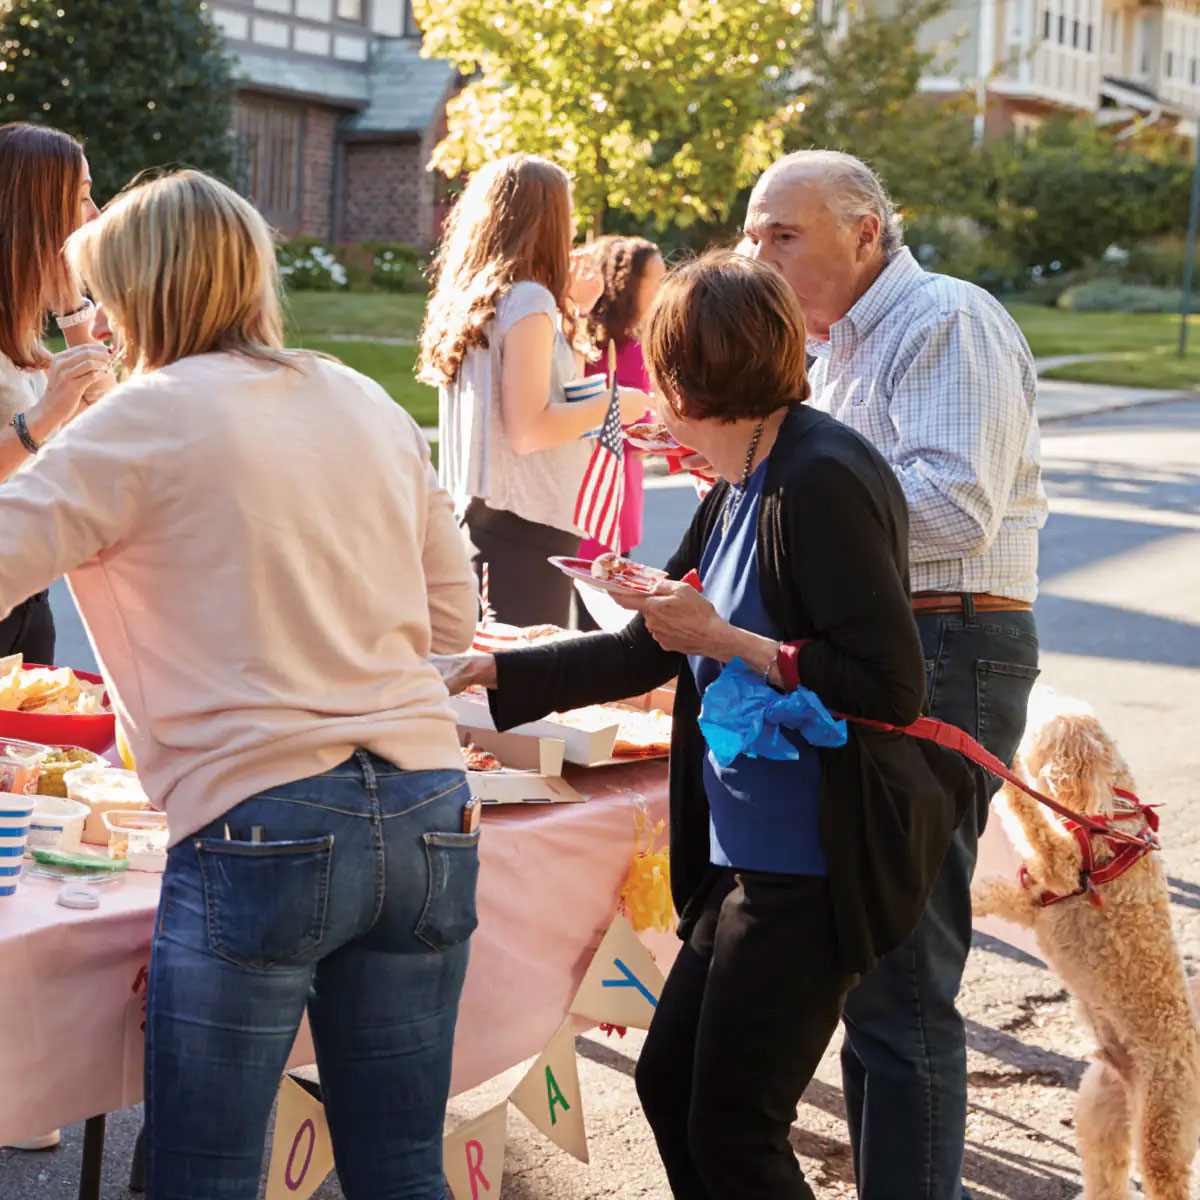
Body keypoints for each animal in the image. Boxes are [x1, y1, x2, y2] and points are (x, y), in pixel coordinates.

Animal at [974, 696, 1200, 1200]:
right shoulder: (1035, 898)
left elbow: (1029, 811)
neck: (1109, 816)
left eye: (1040, 716)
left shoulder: (1061, 867)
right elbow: (998, 892)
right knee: (1107, 1174)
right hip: (1102, 1105)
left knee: (1165, 1180)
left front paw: (1007, 766)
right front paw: (972, 899)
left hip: (1164, 1123)